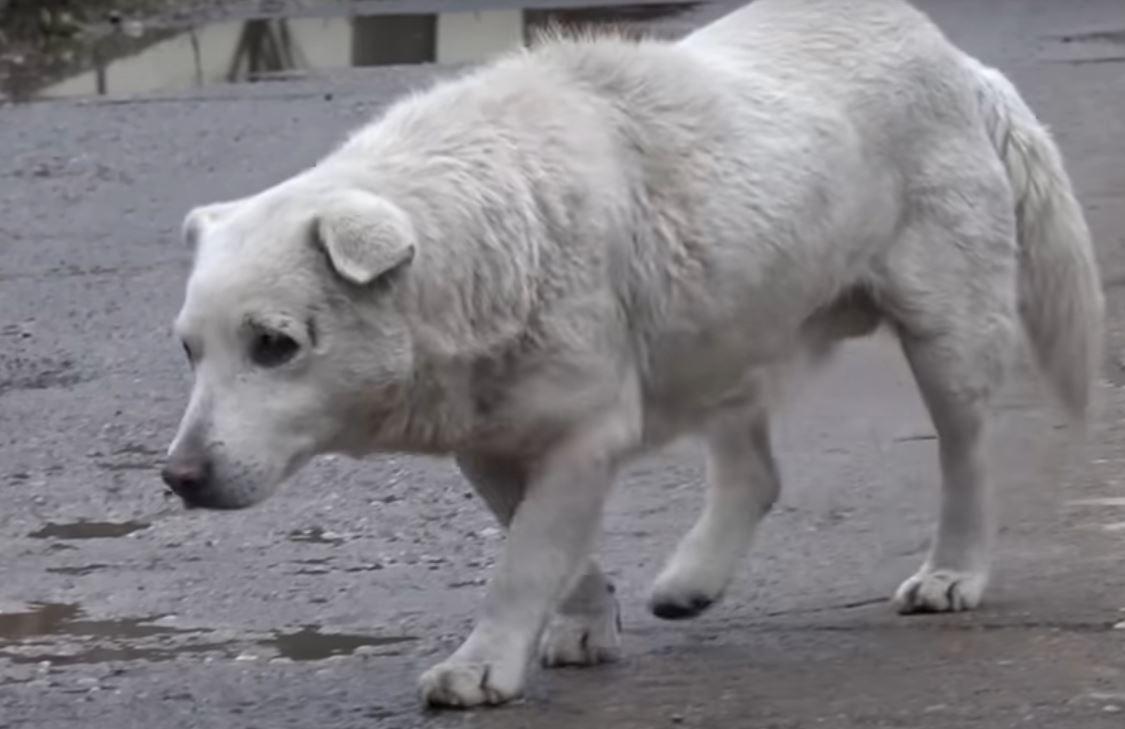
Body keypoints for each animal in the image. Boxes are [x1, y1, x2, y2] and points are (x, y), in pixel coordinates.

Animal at [163, 0, 1102, 706]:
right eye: (188, 350)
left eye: (275, 344)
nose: (177, 476)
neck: (483, 227)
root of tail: (958, 62)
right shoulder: (491, 442)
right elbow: (552, 548)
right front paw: (584, 621)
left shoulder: (581, 435)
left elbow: (522, 562)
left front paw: (481, 664)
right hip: (727, 322)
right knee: (755, 471)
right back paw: (694, 578)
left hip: (946, 331)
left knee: (965, 453)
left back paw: (952, 571)